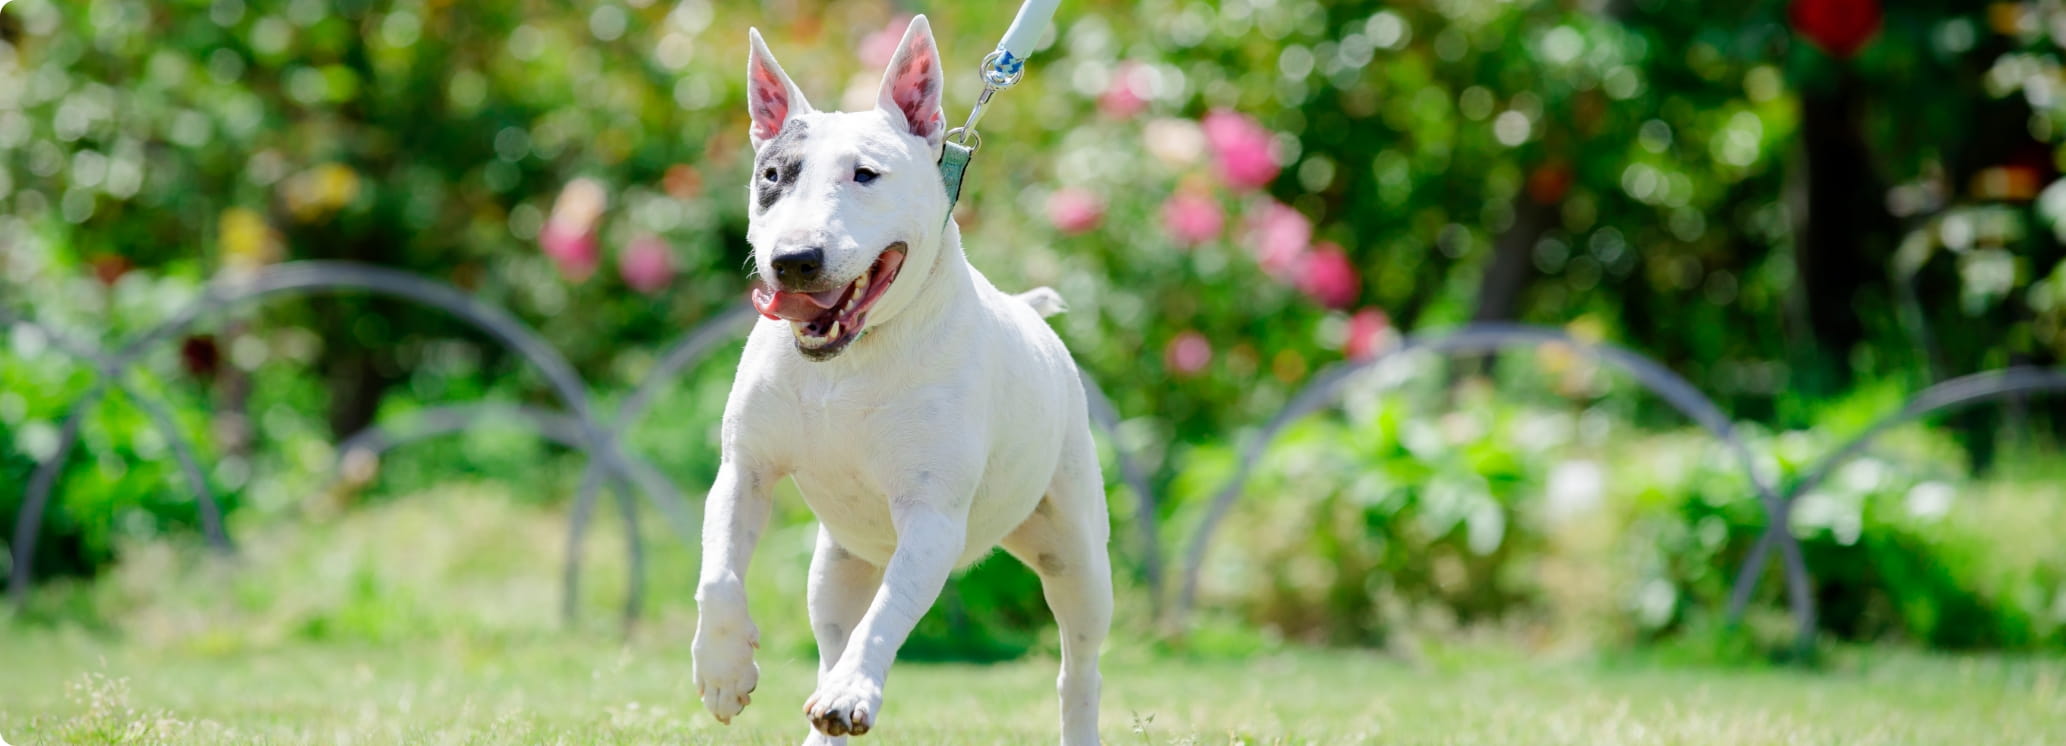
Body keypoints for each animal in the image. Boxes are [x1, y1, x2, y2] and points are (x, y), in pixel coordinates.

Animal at [694, 17, 1115, 743]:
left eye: (866, 174)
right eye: (772, 175)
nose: (795, 260)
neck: (849, 361)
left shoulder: (931, 516)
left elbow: (889, 612)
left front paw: (850, 692)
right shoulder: (743, 470)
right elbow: (720, 572)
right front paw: (724, 673)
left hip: (1077, 554)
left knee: (1077, 669)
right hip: (839, 561)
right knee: (833, 629)